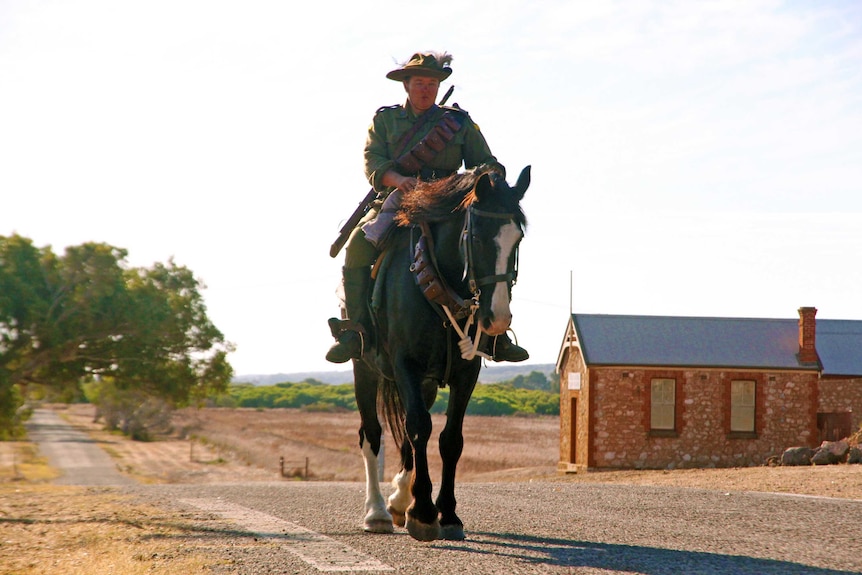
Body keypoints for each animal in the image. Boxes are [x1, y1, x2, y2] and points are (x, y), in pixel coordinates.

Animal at [352, 164, 528, 544]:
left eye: (517, 239)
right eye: (477, 238)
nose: (497, 319)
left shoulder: (465, 371)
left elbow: (450, 439)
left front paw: (446, 513)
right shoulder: (405, 364)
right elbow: (420, 427)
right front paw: (423, 513)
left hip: (427, 383)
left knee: (405, 431)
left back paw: (399, 499)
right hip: (365, 368)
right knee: (372, 433)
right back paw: (377, 512)